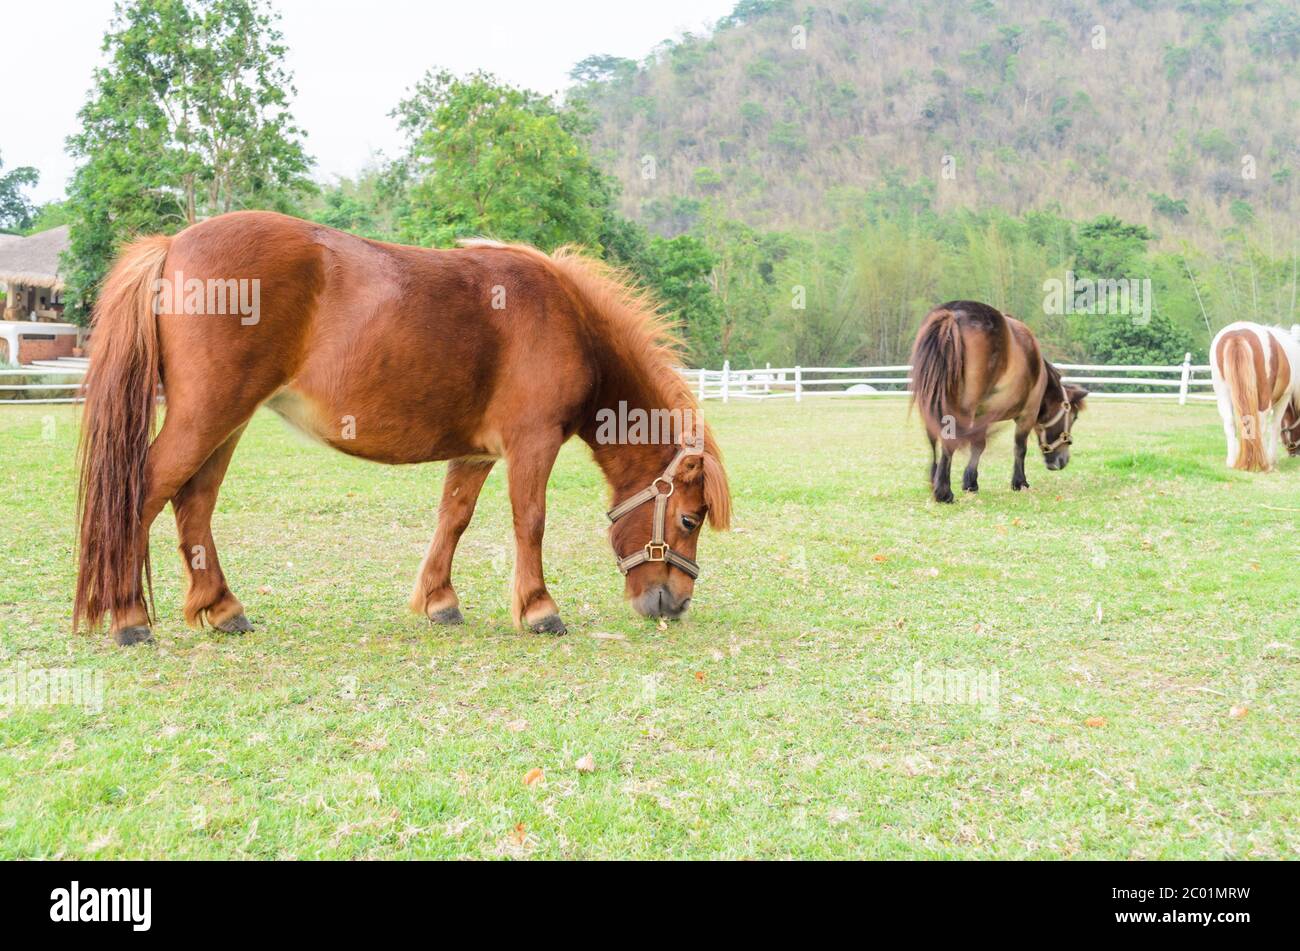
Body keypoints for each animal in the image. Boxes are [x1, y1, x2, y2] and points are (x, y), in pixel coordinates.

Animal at [76, 210, 733, 646]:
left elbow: (454, 518)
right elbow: (530, 521)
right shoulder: (532, 443)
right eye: (689, 519)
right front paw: (539, 608)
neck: (568, 320)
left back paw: (222, 608)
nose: (674, 604)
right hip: (207, 415)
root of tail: (173, 245)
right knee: (144, 493)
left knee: (194, 504)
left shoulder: (477, 453)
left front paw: (439, 600)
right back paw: (129, 618)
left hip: (226, 423)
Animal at [909, 302, 1092, 504]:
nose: (1062, 461)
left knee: (933, 437)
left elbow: (978, 445)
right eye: (1073, 417)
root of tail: (952, 315)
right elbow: (1019, 447)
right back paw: (944, 492)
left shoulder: (981, 414)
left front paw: (970, 482)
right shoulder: (1027, 414)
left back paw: (934, 481)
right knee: (949, 441)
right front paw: (1019, 482)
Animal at [1206, 320, 1300, 470]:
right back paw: (1263, 463)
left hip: (1222, 392)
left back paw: (1232, 461)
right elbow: (1276, 426)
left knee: (1229, 422)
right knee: (1260, 423)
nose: (1295, 453)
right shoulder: (1285, 397)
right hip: (1264, 398)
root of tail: (1237, 334)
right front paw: (1272, 459)